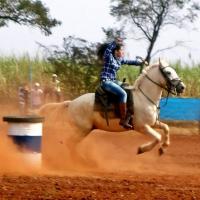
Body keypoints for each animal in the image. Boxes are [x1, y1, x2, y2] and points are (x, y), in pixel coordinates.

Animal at [39, 60, 186, 155]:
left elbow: (166, 129)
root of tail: (71, 103)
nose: (182, 87)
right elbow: (157, 137)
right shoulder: (142, 127)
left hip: (85, 130)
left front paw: (163, 148)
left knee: (70, 143)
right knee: (69, 142)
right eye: (168, 72)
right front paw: (141, 149)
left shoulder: (153, 123)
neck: (144, 97)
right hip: (81, 129)